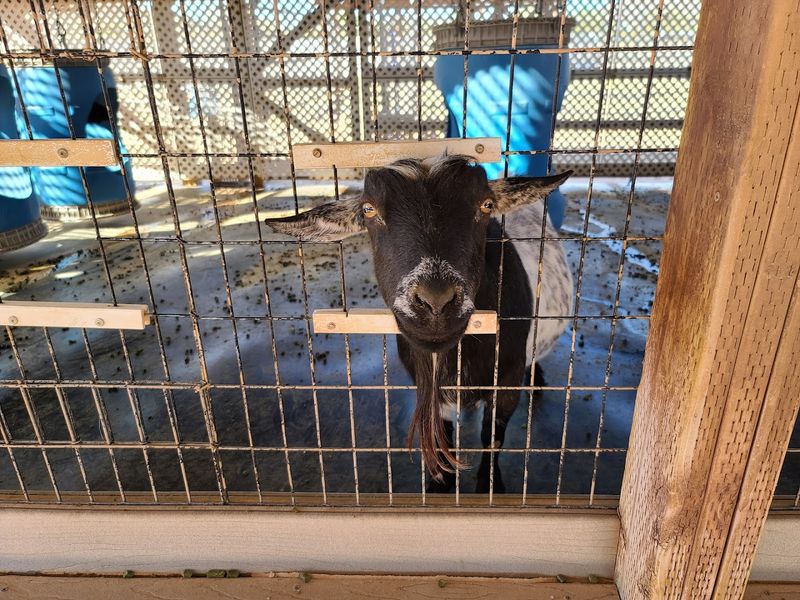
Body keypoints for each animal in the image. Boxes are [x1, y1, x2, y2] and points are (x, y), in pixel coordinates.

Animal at [265, 155, 573, 493]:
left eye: (486, 205)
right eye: (369, 210)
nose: (435, 301)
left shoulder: (505, 380)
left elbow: (492, 437)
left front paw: (489, 486)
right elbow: (442, 433)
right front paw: (441, 481)